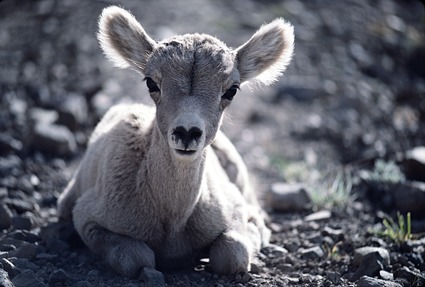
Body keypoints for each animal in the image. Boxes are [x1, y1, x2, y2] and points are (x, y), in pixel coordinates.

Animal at [58, 6, 294, 280]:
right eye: (151, 82)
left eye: (231, 90)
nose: (187, 132)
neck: (173, 220)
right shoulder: (88, 219)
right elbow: (136, 258)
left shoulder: (235, 214)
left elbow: (232, 255)